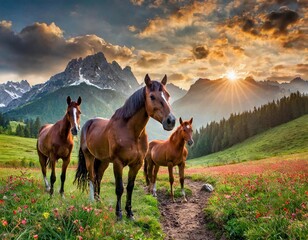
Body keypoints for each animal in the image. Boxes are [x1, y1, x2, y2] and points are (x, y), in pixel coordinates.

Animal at [74, 74, 176, 220]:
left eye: (167, 95)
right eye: (152, 96)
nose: (171, 121)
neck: (131, 132)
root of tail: (87, 124)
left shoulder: (136, 164)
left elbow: (130, 187)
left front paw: (130, 213)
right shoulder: (118, 163)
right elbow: (119, 188)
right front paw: (119, 214)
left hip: (103, 161)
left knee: (98, 177)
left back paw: (99, 200)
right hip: (89, 158)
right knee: (91, 177)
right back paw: (92, 202)